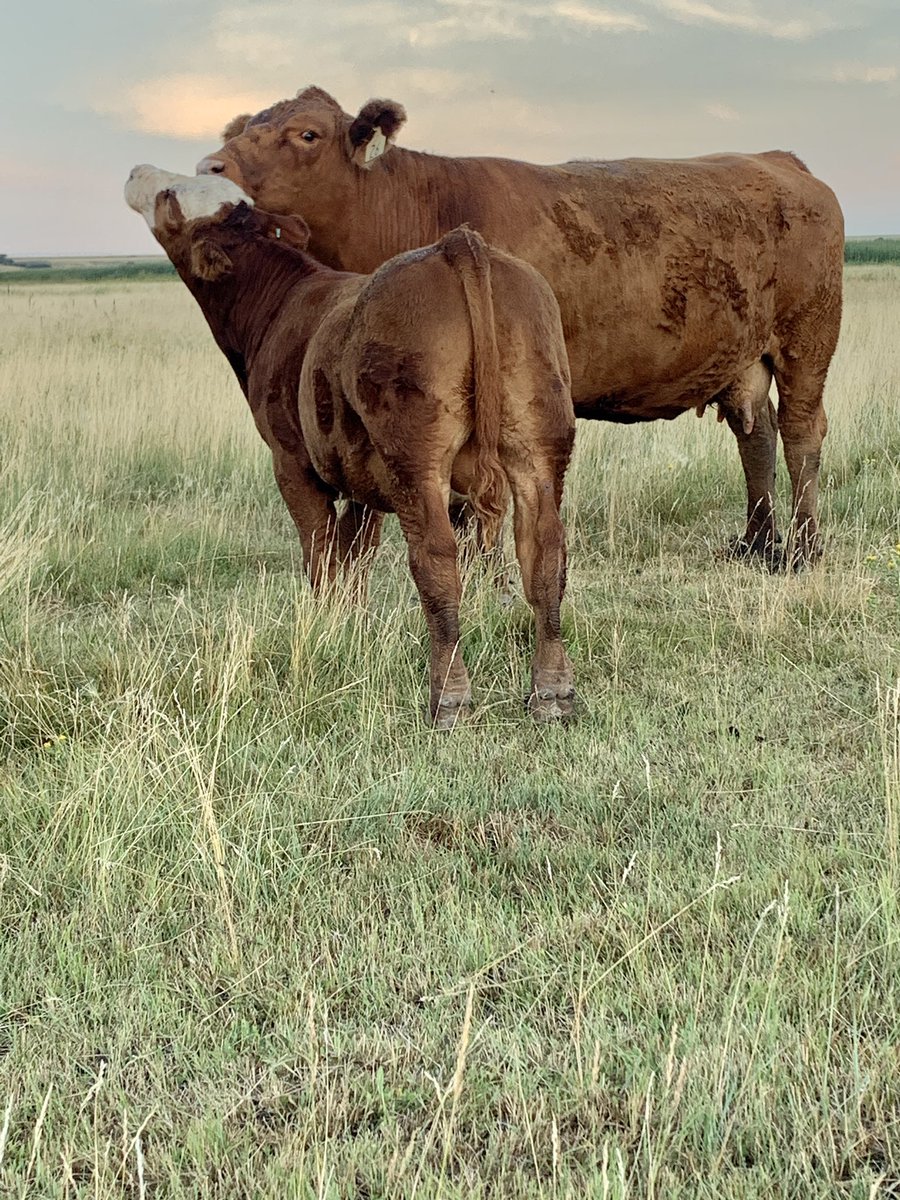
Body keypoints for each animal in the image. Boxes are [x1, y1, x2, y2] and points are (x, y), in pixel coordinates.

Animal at [124, 166, 576, 727]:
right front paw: (352, 624)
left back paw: (449, 698)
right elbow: (357, 554)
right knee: (544, 552)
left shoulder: (291, 461)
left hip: (415, 458)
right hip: (540, 440)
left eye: (169, 196)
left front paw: (325, 627)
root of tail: (456, 245)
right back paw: (552, 693)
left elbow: (320, 553)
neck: (279, 305)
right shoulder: (361, 477)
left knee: (436, 561)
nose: (137, 172)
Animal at [197, 86, 845, 569]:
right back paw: (758, 544)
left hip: (809, 338)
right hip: (744, 358)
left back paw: (803, 549)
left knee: (801, 432)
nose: (209, 165)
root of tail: (779, 159)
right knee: (755, 433)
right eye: (241, 127)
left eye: (306, 134)